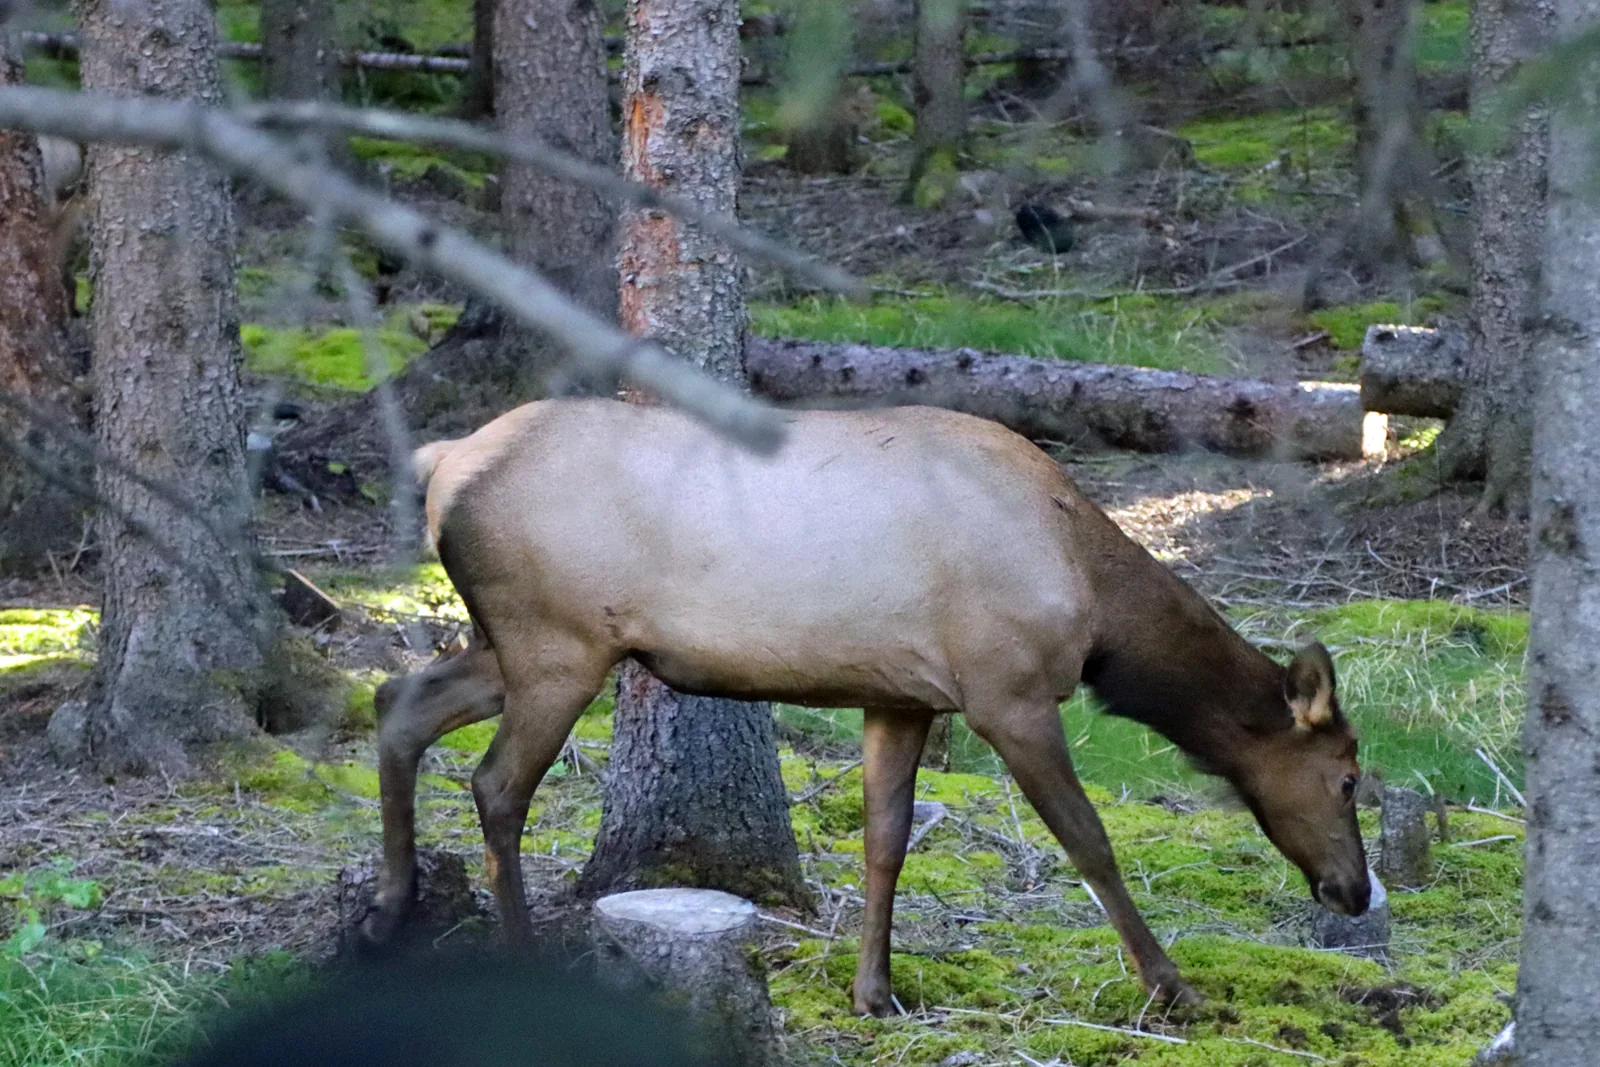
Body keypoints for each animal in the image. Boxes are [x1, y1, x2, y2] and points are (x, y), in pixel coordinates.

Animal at [368, 398, 1369, 1014]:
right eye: (1351, 777)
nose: (1355, 890)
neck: (1095, 603)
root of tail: (442, 465)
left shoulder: (901, 697)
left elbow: (885, 841)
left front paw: (874, 991)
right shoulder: (1006, 691)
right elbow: (1089, 840)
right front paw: (1171, 984)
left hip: (516, 643)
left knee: (397, 699)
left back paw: (390, 905)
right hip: (557, 642)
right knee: (496, 785)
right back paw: (516, 954)